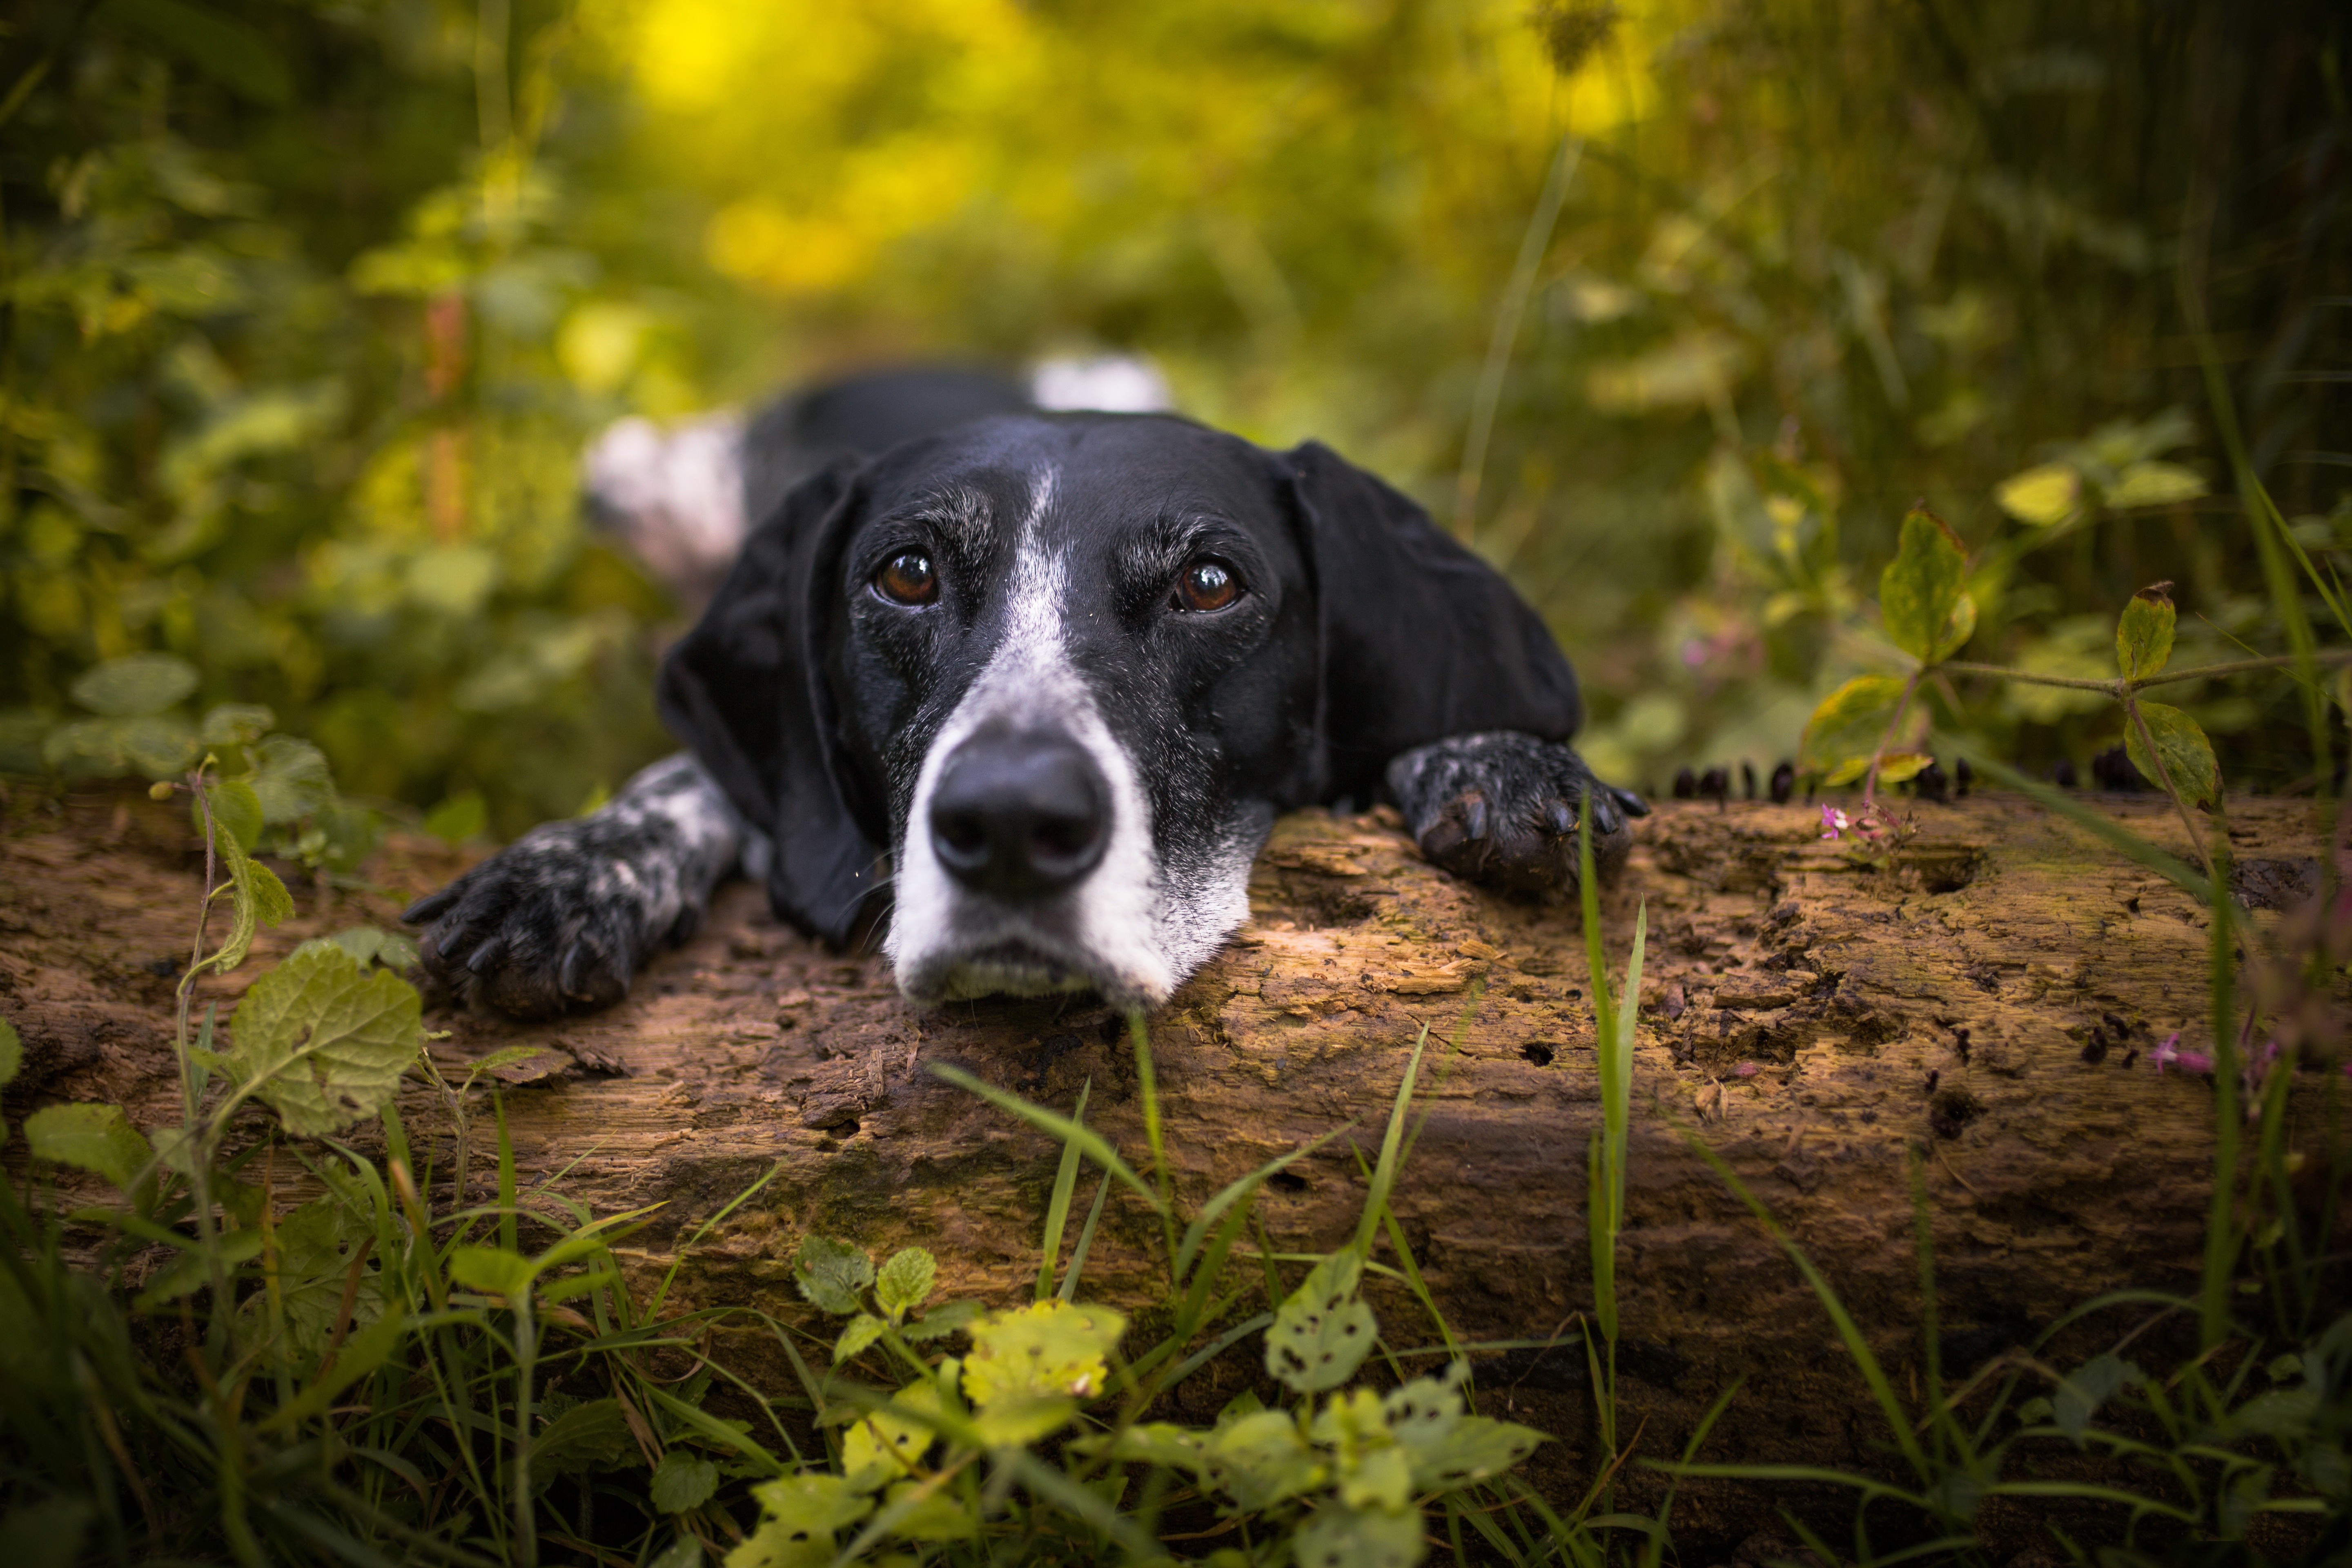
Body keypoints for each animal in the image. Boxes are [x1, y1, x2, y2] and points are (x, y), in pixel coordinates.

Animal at [404, 376, 1646, 1025]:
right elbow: (678, 780)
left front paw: (1499, 759)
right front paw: (569, 870)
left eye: (1210, 583)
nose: (1008, 823)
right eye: (906, 573)